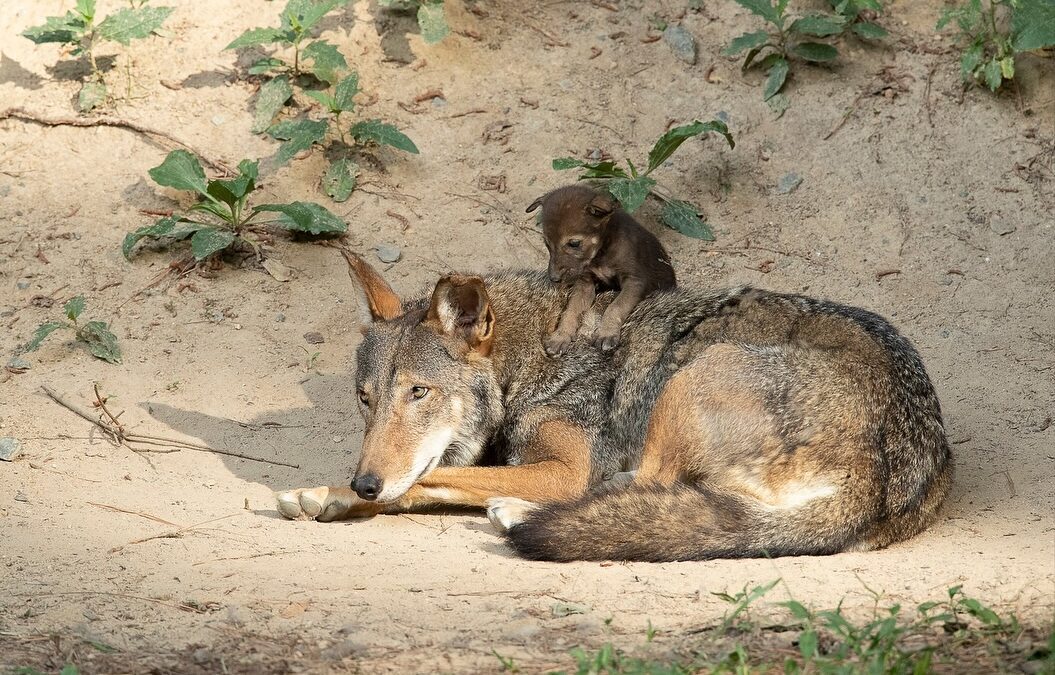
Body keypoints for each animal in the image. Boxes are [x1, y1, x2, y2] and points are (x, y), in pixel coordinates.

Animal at [275, 251, 952, 562]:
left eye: (419, 393)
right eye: (365, 399)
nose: (364, 482)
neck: (531, 361)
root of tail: (883, 474)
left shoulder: (566, 468)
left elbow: (430, 477)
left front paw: (329, 493)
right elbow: (431, 478)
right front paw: (336, 496)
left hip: (691, 378)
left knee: (640, 489)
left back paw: (521, 514)